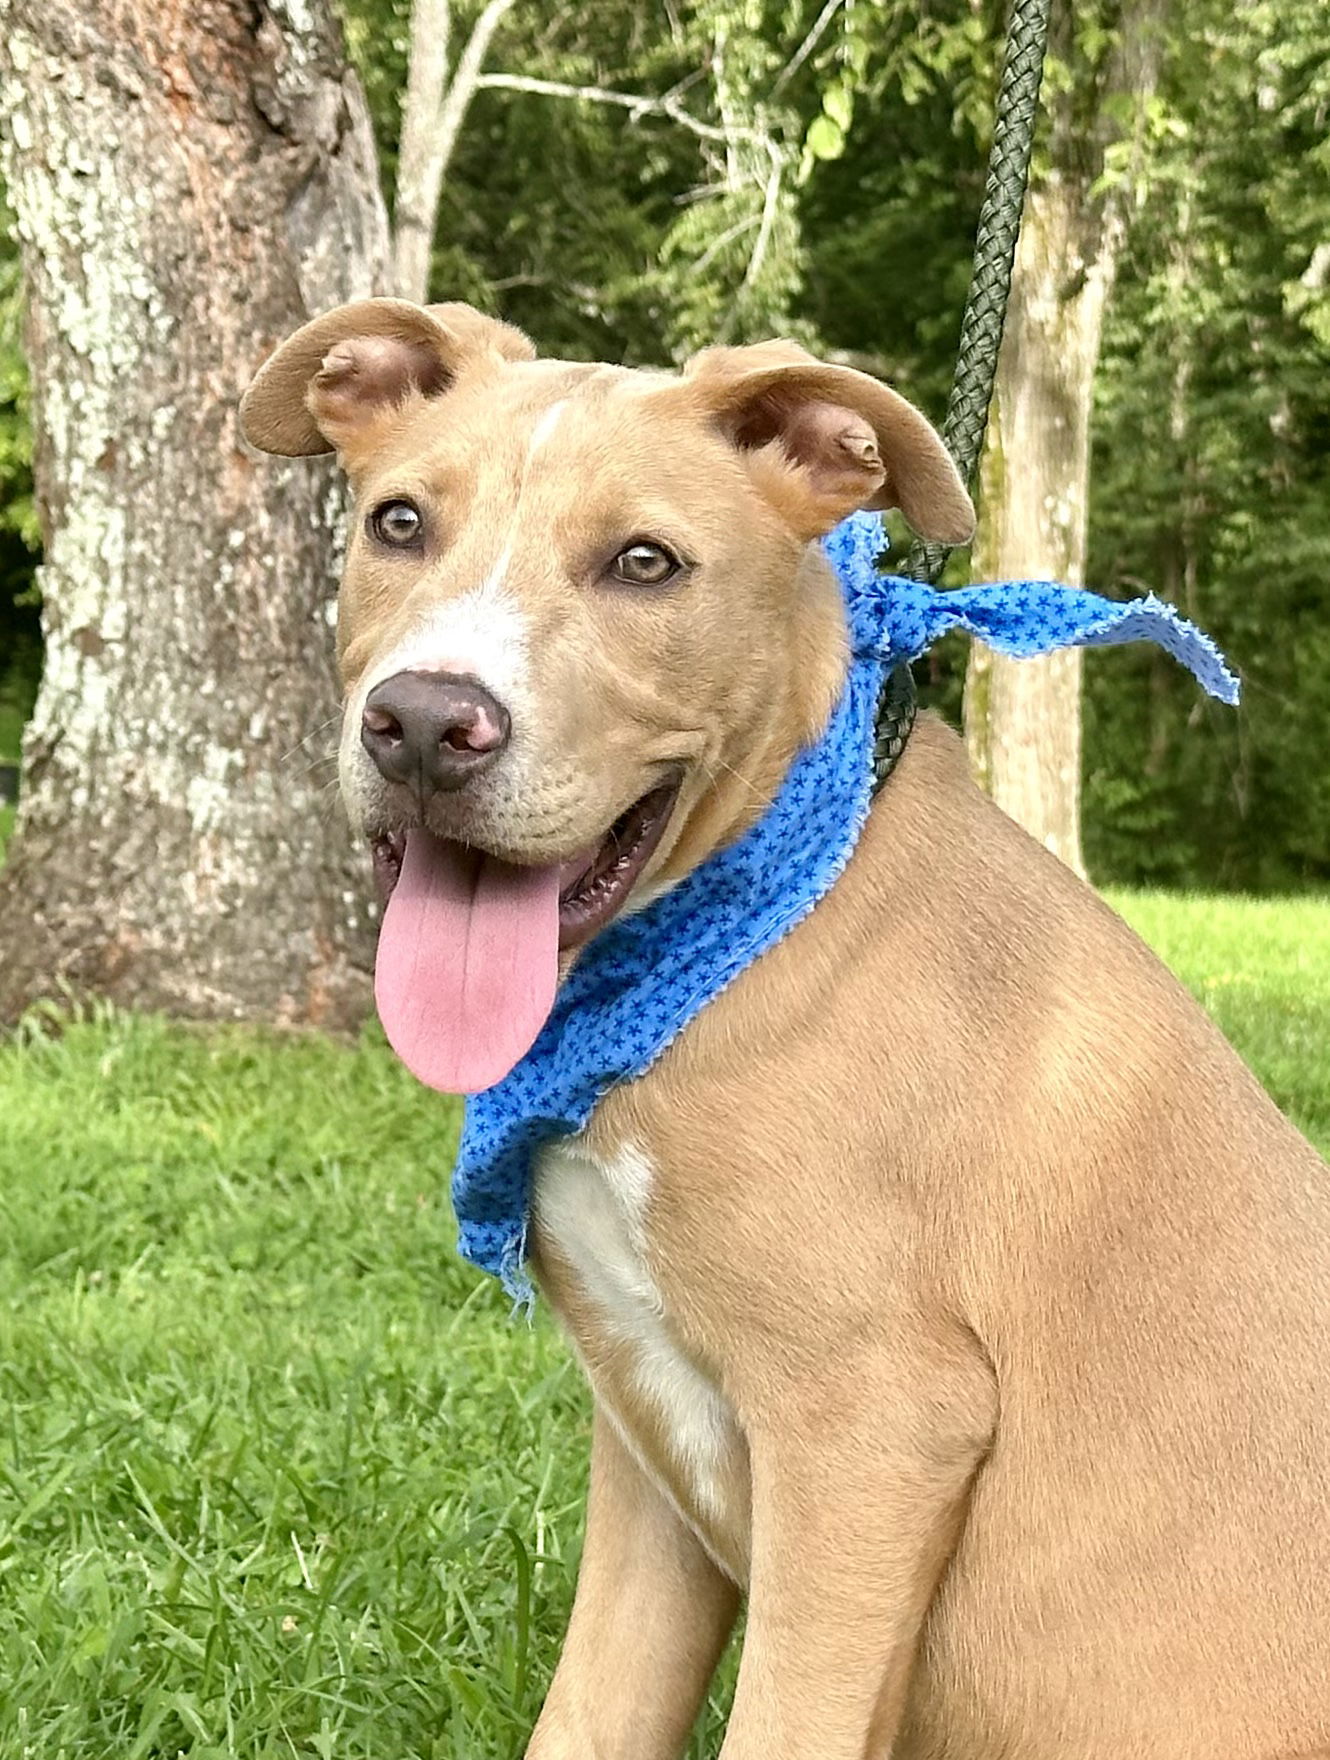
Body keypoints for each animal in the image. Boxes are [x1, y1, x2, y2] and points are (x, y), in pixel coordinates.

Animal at [241, 302, 1330, 1760]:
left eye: (646, 563)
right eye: (398, 523)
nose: (422, 725)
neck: (739, 933)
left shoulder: (870, 1431)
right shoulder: (648, 1439)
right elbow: (586, 1723)